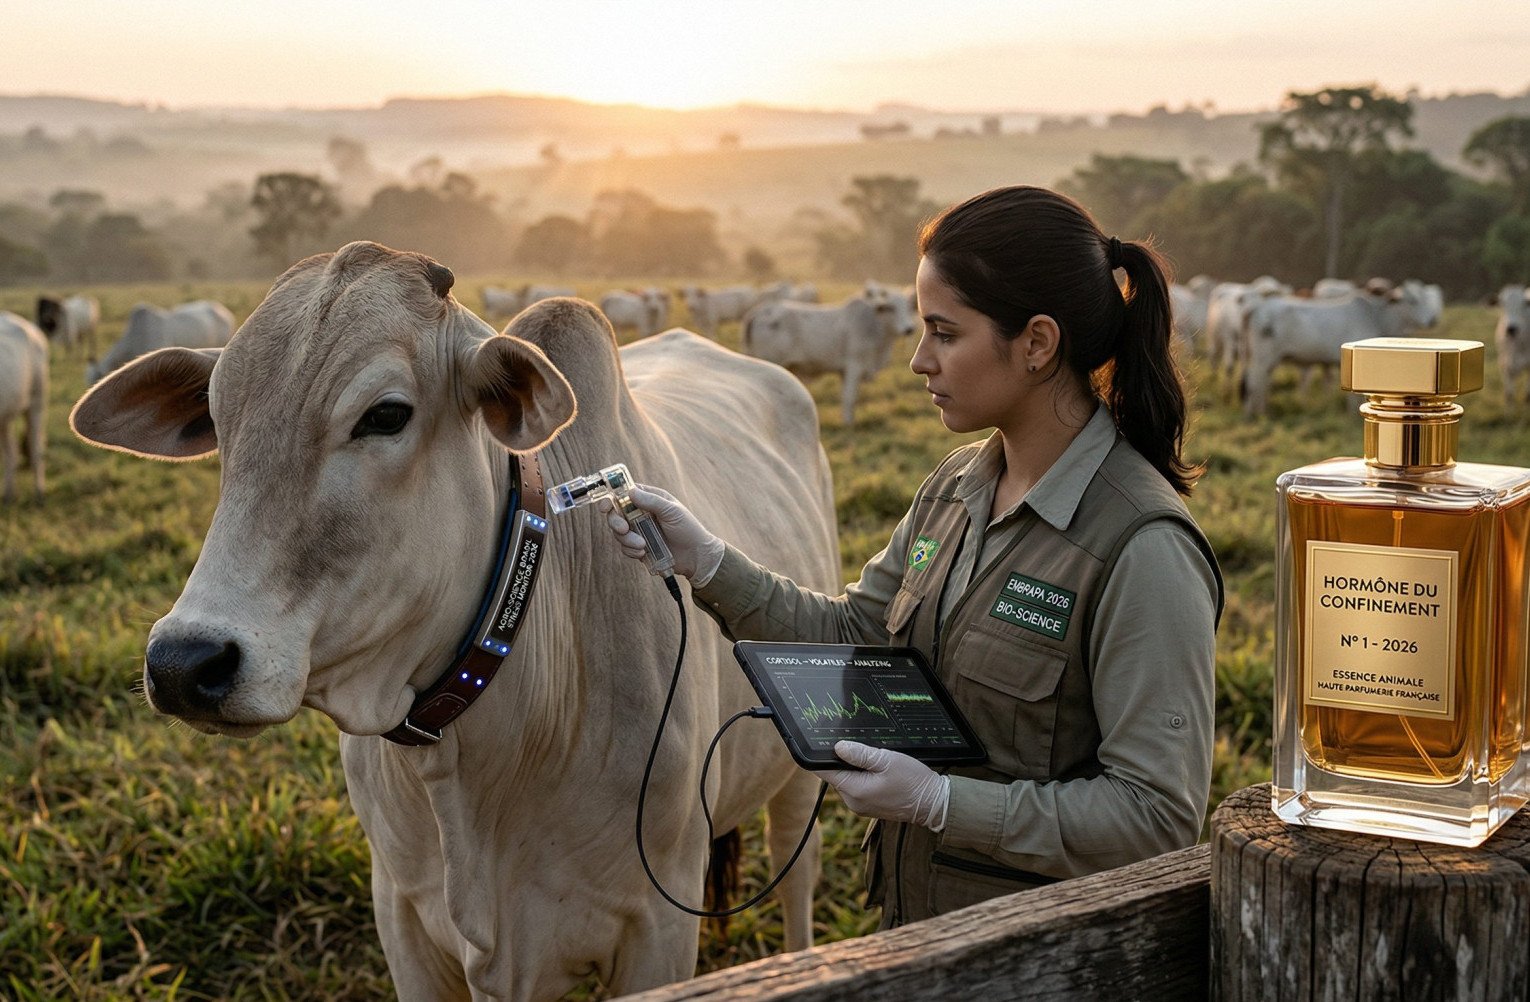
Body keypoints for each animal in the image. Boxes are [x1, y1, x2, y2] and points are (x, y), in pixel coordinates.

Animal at [741, 285, 917, 426]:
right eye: (891, 307)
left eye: (909, 307)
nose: (909, 329)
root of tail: (759, 311)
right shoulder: (854, 366)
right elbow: (850, 397)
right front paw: (848, 424)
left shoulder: (845, 372)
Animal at [1240, 285, 1433, 416]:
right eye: (1412, 300)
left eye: (1425, 298)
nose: (1430, 320)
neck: (1377, 316)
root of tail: (1256, 307)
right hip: (1263, 357)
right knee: (1254, 382)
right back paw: (1256, 414)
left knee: (1261, 383)